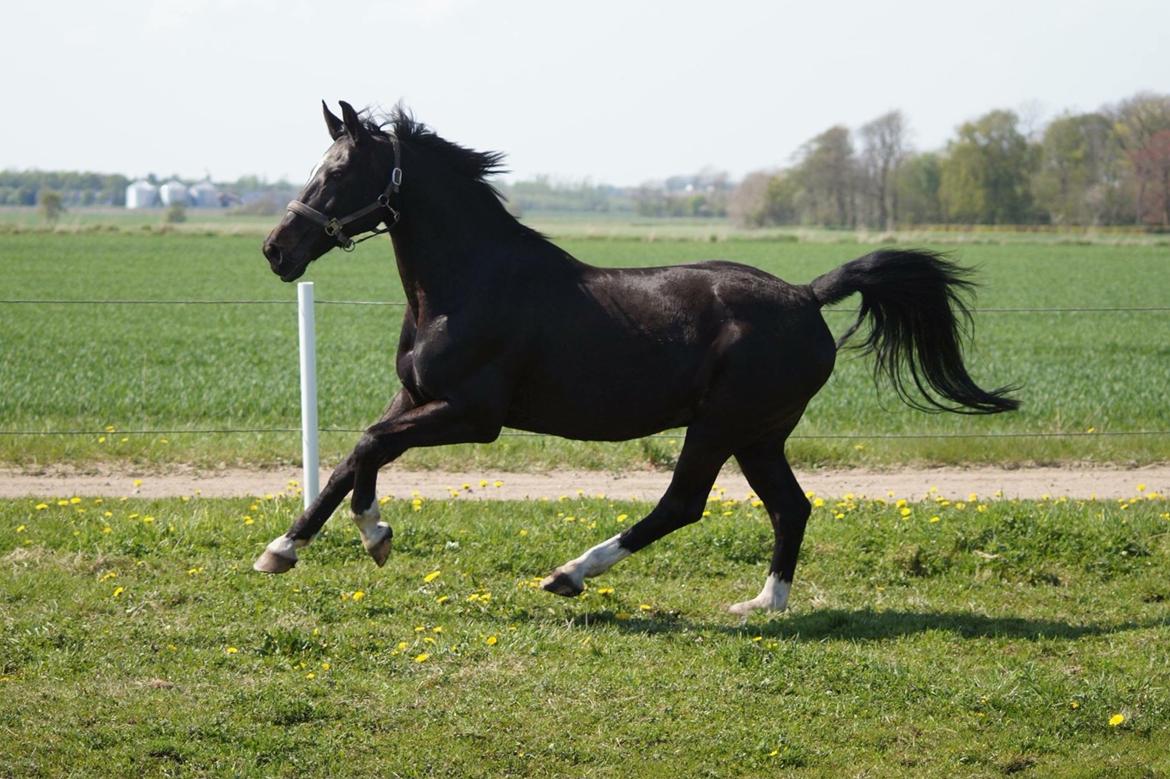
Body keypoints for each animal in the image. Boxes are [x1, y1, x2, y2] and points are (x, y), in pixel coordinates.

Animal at [258, 101, 1015, 612]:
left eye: (340, 171)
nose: (276, 250)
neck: (467, 283)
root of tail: (807, 294)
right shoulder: (416, 397)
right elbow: (354, 456)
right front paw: (297, 546)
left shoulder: (472, 414)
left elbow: (369, 444)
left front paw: (365, 535)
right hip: (760, 434)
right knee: (791, 507)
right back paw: (764, 603)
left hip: (720, 424)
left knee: (684, 503)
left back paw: (569, 573)